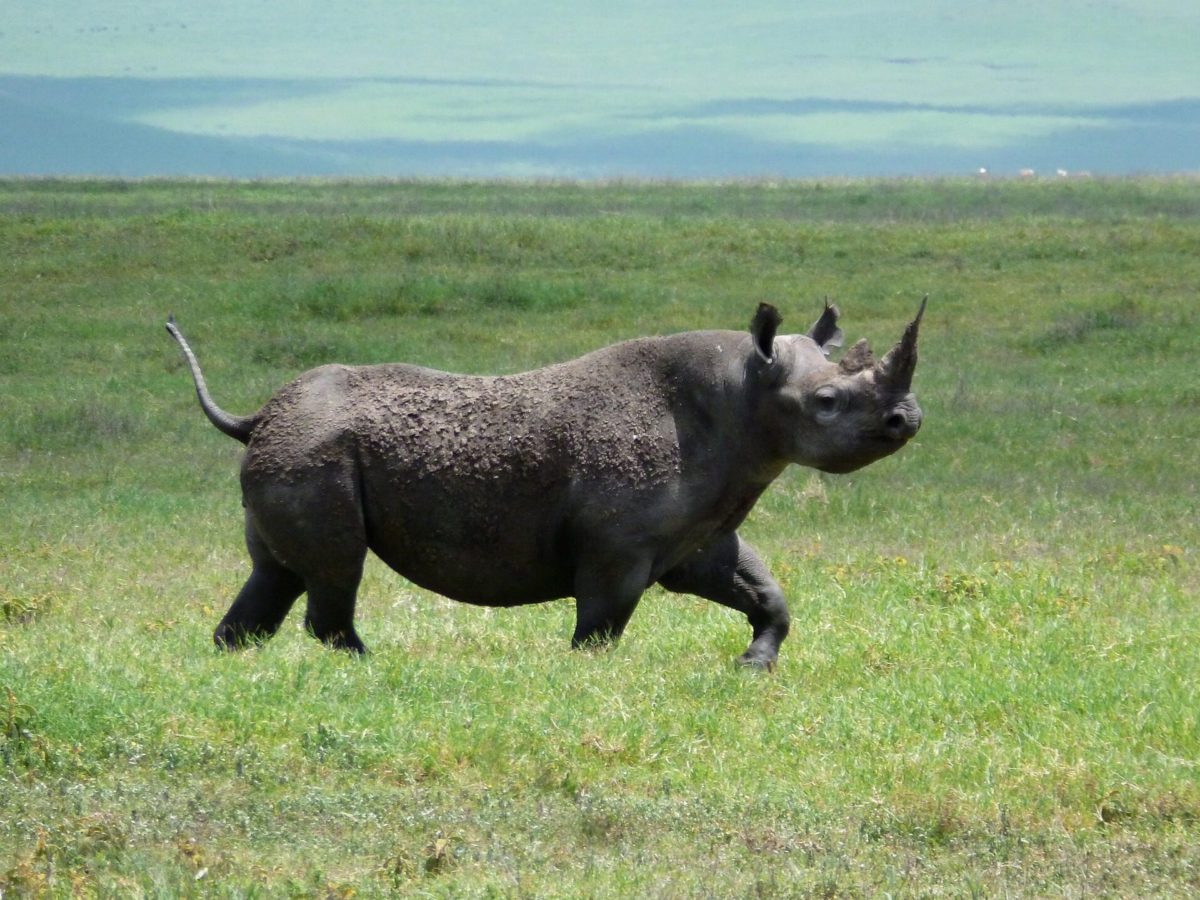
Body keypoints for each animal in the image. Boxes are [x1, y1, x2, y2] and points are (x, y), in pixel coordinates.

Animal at [167, 300, 924, 667]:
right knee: (335, 570)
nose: (908, 418)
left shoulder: (700, 534)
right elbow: (601, 624)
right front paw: (584, 673)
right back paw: (368, 666)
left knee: (276, 572)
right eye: (826, 404)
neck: (745, 391)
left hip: (296, 450)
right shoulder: (618, 547)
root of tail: (258, 415)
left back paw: (233, 658)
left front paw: (753, 665)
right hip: (315, 452)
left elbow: (764, 592)